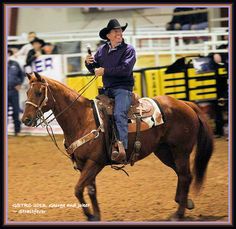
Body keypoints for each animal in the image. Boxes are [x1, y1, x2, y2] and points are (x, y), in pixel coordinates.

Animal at [22, 72, 214, 221]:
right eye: (27, 91)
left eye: (39, 92)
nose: (25, 119)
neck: (82, 119)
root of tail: (185, 104)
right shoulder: (84, 164)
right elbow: (91, 190)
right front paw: (96, 216)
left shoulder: (95, 162)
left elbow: (78, 189)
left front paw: (90, 215)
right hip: (164, 151)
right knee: (182, 175)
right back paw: (185, 202)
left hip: (181, 150)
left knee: (185, 176)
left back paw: (178, 214)